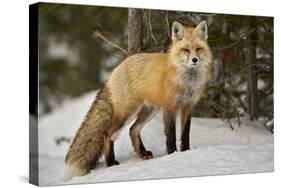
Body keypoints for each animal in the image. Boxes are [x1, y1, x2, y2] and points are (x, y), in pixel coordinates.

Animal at [64, 20, 212, 181]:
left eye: (198, 49)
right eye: (185, 49)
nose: (194, 60)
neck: (187, 82)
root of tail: (116, 69)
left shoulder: (188, 107)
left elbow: (185, 134)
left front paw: (186, 152)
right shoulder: (170, 107)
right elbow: (171, 136)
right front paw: (172, 154)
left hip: (149, 111)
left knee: (132, 130)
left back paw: (142, 153)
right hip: (127, 113)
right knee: (107, 134)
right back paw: (110, 163)